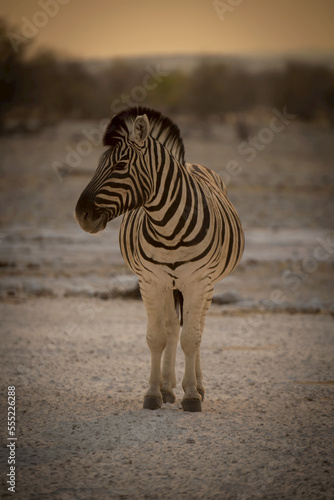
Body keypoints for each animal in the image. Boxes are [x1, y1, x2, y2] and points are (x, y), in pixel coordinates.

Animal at [75, 105, 243, 410]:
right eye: (98, 163)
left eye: (120, 165)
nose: (80, 215)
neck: (168, 227)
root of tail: (192, 163)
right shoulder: (151, 282)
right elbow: (157, 338)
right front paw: (154, 392)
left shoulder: (198, 282)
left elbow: (192, 338)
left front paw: (192, 395)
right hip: (168, 285)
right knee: (171, 329)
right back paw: (167, 388)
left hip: (206, 285)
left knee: (197, 328)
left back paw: (198, 386)